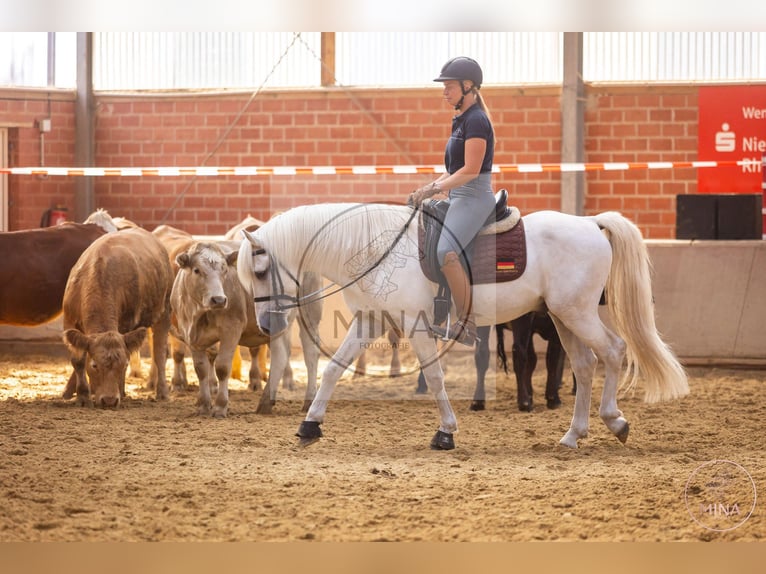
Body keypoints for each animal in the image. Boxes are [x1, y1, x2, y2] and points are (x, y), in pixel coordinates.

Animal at [236, 202, 689, 450]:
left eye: (260, 270)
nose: (266, 325)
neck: (373, 248)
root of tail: (591, 223)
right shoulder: (369, 321)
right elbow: (333, 370)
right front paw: (309, 425)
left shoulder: (415, 325)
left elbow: (435, 377)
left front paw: (446, 432)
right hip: (563, 316)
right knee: (584, 365)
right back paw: (573, 435)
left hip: (576, 313)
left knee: (612, 351)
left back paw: (615, 420)